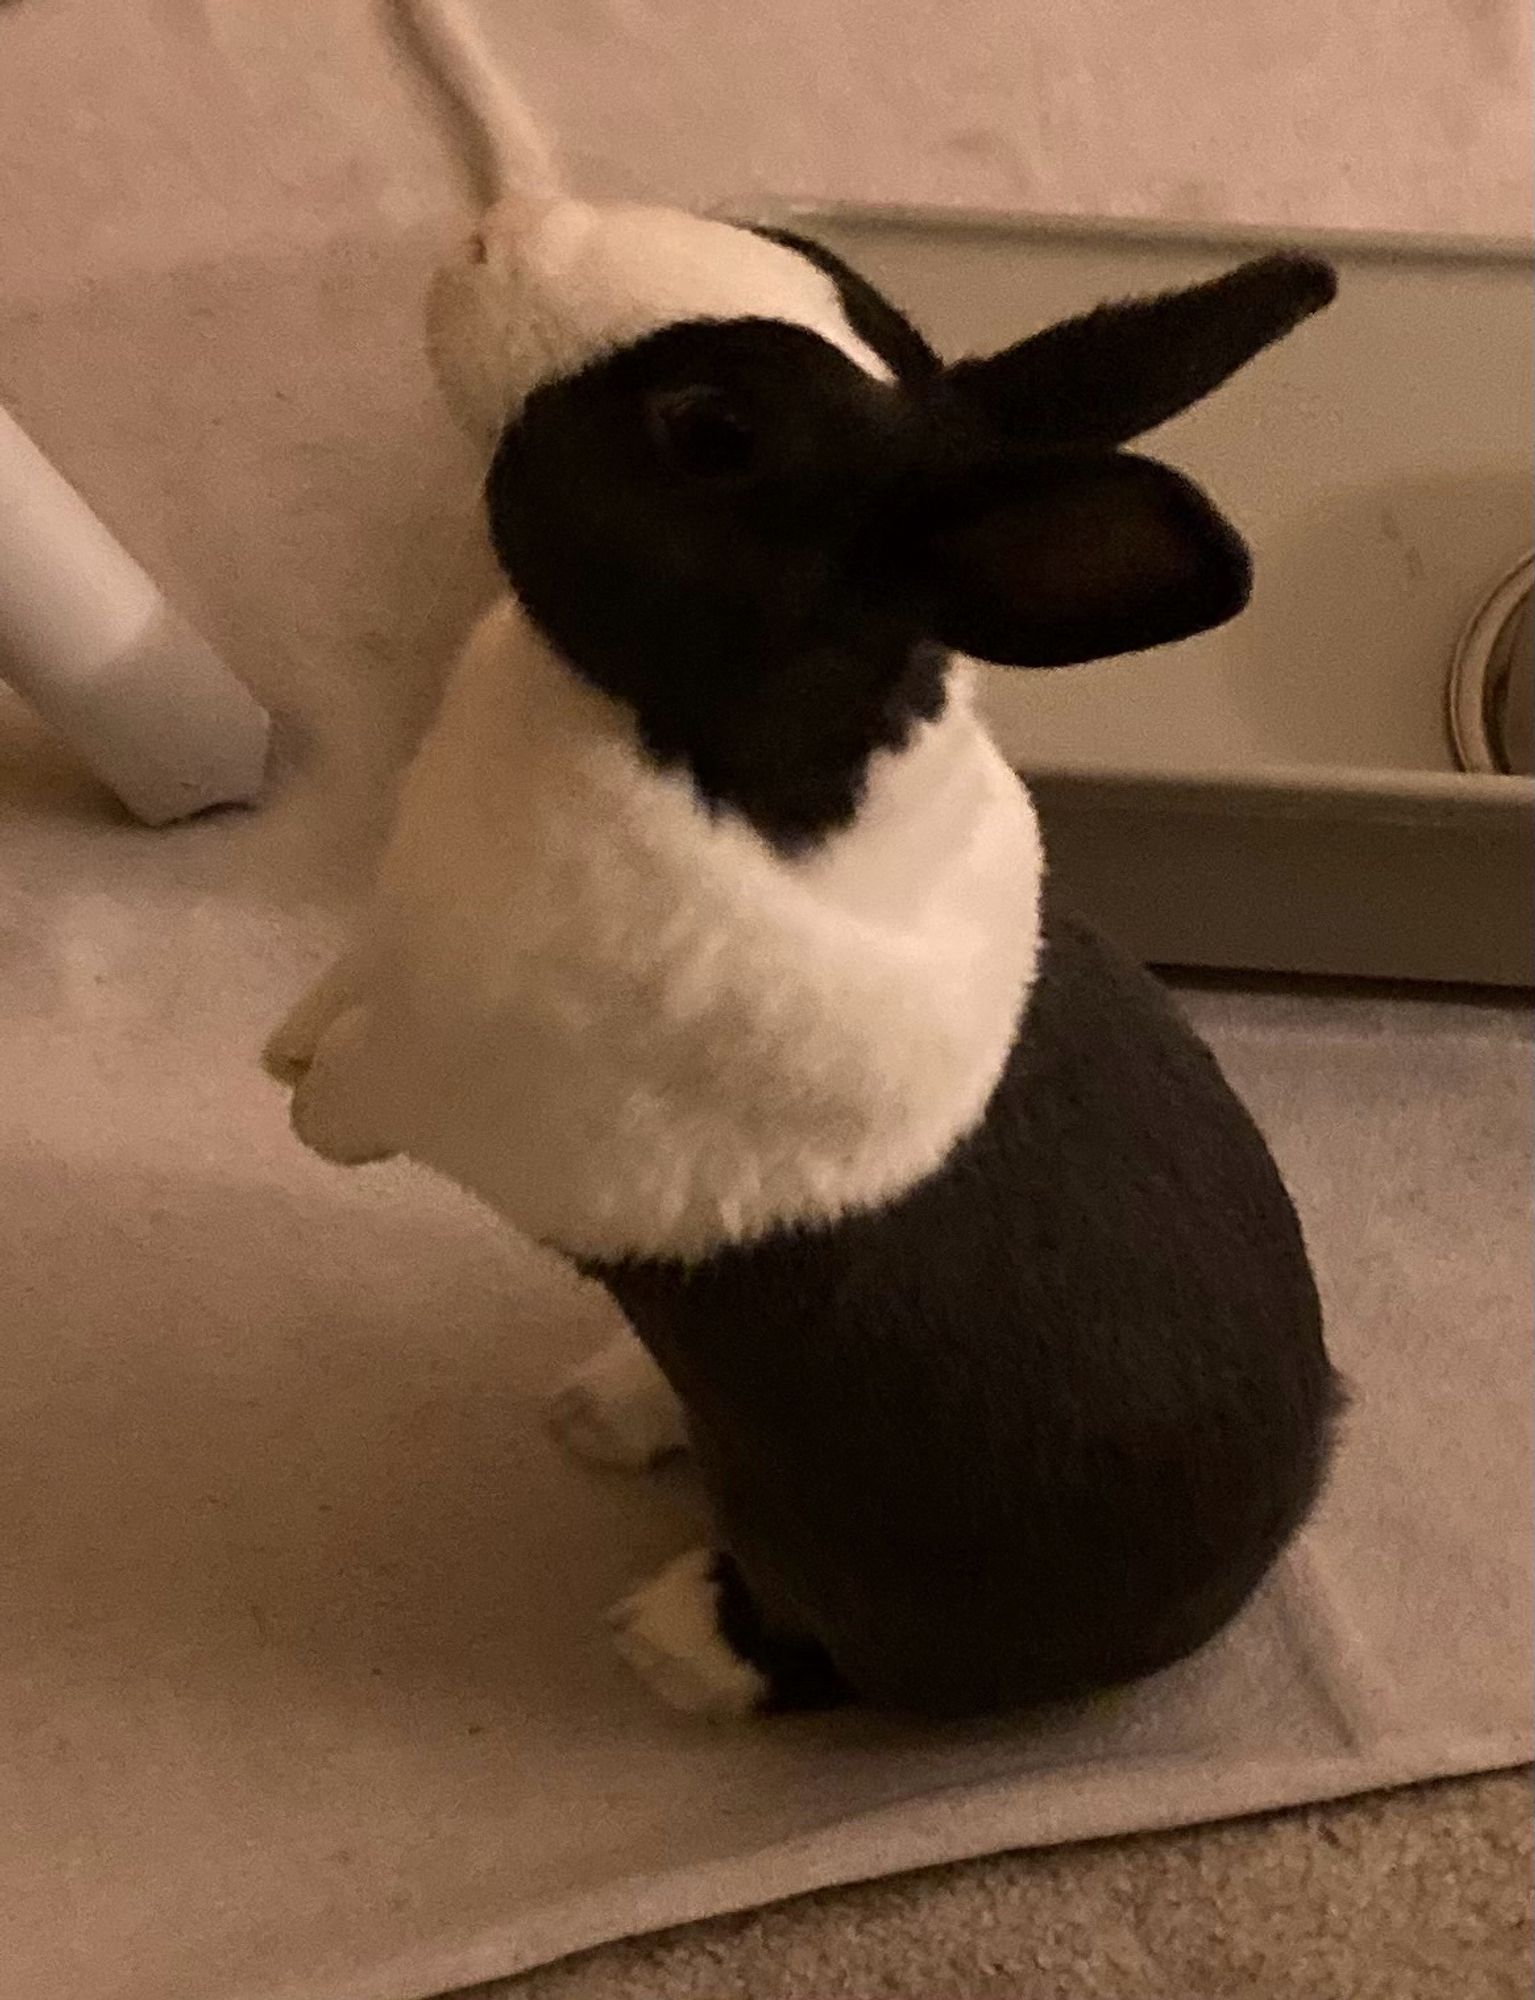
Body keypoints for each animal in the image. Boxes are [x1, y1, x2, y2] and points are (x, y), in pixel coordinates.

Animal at [267, 188, 1343, 1720]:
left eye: (708, 431)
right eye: (817, 259)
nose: (494, 230)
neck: (706, 747)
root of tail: (1245, 1569)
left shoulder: (471, 1073)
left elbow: (369, 1093)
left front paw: (306, 1109)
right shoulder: (391, 945)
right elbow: (341, 989)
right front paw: (283, 1044)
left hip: (859, 1592)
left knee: (811, 1659)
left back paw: (665, 1640)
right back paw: (603, 1408)